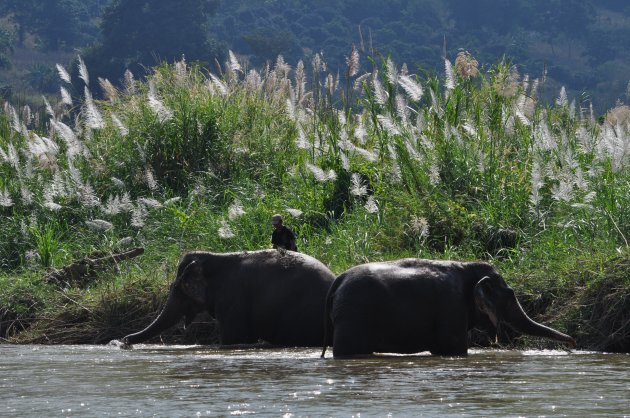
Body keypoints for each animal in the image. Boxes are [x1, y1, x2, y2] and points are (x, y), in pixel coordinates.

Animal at [324, 260, 580, 358]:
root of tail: (338, 281)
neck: (467, 266)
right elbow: (453, 348)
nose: (573, 343)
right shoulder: (452, 306)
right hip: (353, 317)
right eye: (509, 295)